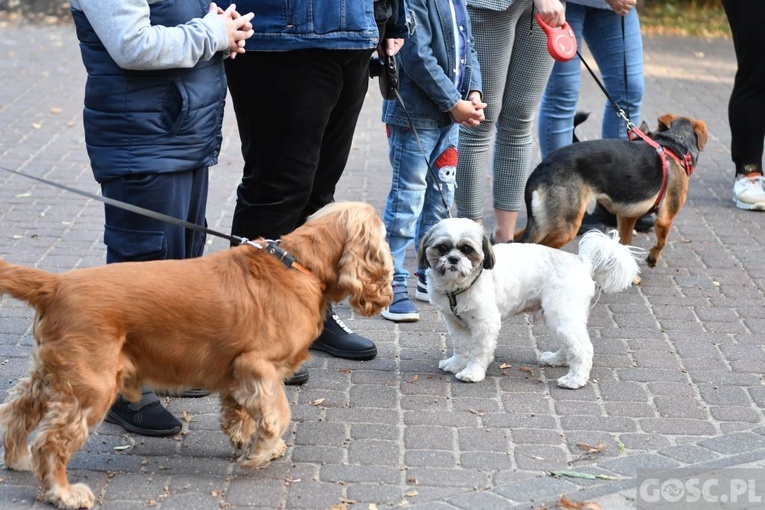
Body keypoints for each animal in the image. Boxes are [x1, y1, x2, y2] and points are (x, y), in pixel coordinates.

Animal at [418, 217, 640, 388]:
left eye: (466, 249)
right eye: (442, 248)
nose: (453, 259)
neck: (458, 287)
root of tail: (583, 262)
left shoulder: (485, 324)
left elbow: (478, 351)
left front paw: (472, 373)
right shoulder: (454, 322)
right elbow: (461, 346)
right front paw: (456, 363)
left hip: (562, 313)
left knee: (582, 348)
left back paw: (574, 380)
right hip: (557, 316)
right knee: (569, 343)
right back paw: (556, 359)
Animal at [516, 114, 708, 268]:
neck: (674, 144)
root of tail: (541, 168)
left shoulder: (627, 217)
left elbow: (625, 245)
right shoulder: (665, 219)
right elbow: (661, 242)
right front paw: (652, 259)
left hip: (543, 223)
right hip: (566, 227)